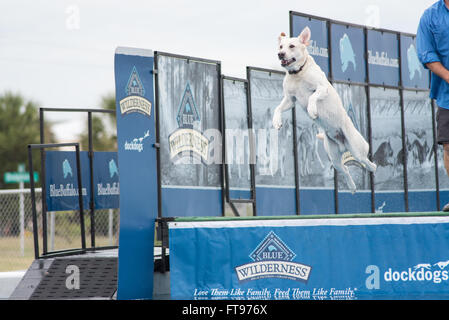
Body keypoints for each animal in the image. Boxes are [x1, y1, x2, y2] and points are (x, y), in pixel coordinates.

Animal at [272, 26, 376, 192]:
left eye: (291, 46)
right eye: (281, 47)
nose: (280, 54)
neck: (298, 73)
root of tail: (343, 144)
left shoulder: (322, 89)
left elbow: (312, 97)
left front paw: (312, 110)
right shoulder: (290, 100)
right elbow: (278, 108)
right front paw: (276, 122)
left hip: (357, 148)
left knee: (366, 161)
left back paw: (372, 168)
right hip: (334, 157)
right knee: (345, 169)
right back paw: (352, 186)